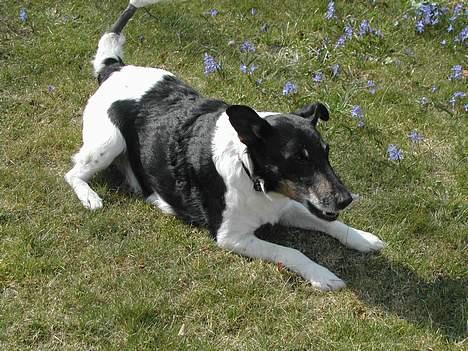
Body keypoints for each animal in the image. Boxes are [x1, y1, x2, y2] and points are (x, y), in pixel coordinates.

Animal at [67, 0, 386, 292]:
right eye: (298, 158)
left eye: (326, 153)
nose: (346, 199)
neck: (251, 175)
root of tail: (113, 67)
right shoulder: (232, 237)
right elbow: (293, 252)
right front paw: (322, 275)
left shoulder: (289, 206)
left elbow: (332, 224)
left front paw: (362, 238)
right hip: (109, 141)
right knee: (72, 173)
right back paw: (90, 197)